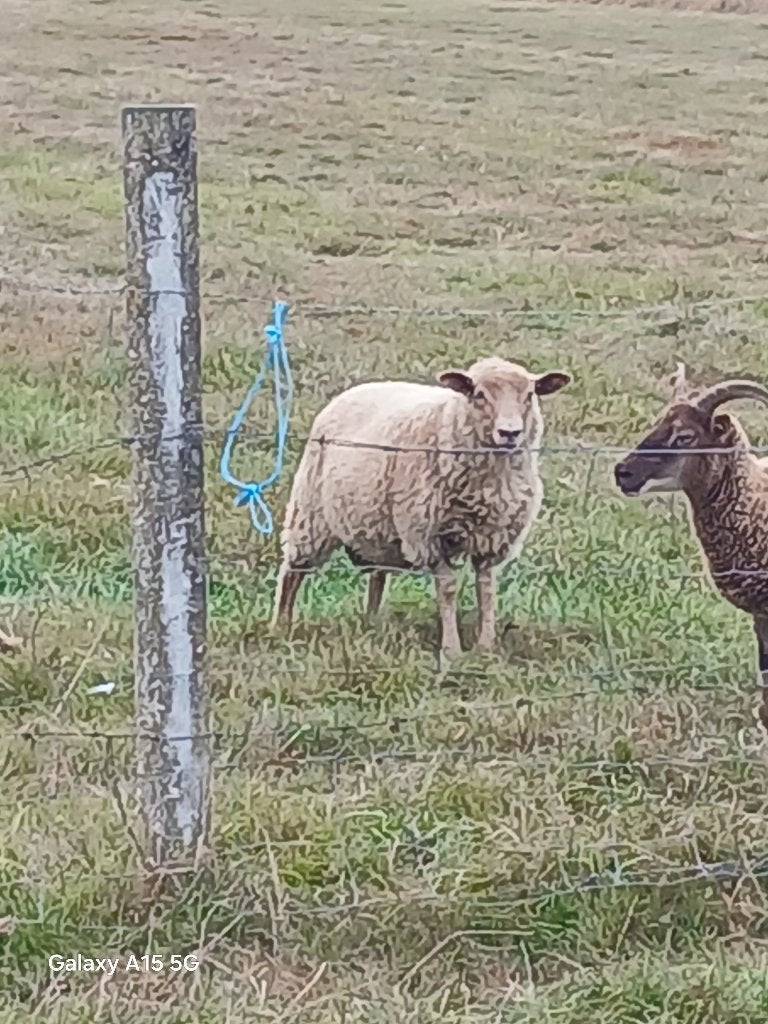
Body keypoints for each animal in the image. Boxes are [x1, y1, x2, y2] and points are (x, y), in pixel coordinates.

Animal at [272, 356, 571, 658]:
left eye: (529, 395)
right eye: (479, 394)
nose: (510, 433)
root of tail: (355, 390)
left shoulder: (492, 537)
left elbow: (485, 588)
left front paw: (486, 646)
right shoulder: (427, 535)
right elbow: (448, 588)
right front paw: (451, 649)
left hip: (377, 526)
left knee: (377, 574)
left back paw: (372, 622)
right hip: (310, 513)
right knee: (293, 571)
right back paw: (282, 625)